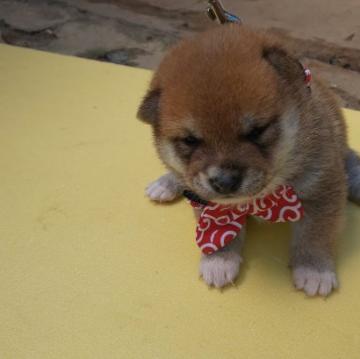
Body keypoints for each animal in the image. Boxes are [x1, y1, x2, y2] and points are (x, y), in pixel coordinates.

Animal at [136, 23, 360, 296]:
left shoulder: (322, 186)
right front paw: (219, 260)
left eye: (257, 131)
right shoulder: (206, 201)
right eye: (190, 141)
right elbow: (221, 231)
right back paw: (166, 183)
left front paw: (314, 270)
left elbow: (315, 233)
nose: (224, 182)